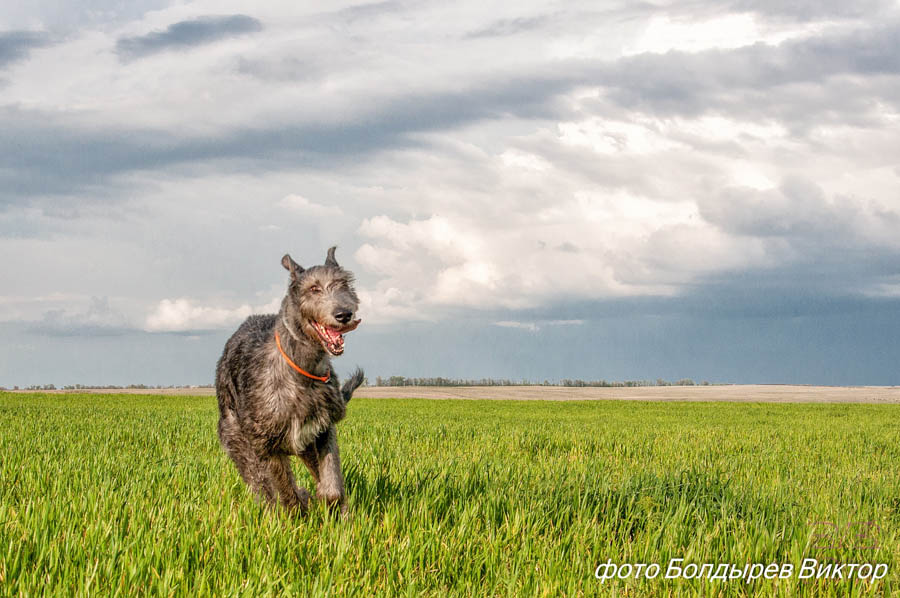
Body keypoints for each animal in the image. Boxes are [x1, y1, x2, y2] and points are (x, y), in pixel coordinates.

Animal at [214, 248, 362, 516]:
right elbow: (287, 492)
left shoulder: (321, 427)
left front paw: (336, 511)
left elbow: (331, 485)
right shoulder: (266, 444)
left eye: (344, 283)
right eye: (313, 289)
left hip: (304, 444)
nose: (344, 314)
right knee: (262, 486)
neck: (302, 369)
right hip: (238, 441)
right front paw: (299, 513)